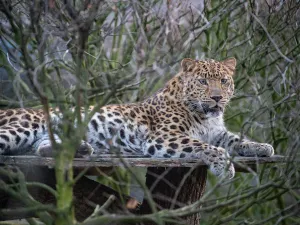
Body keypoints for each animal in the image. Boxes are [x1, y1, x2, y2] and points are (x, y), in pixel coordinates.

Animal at [0, 57, 274, 178]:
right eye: (203, 82)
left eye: (224, 81)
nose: (217, 98)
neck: (206, 117)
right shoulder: (164, 137)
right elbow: (206, 147)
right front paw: (224, 165)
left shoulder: (217, 133)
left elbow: (235, 140)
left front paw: (262, 146)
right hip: (23, 127)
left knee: (40, 149)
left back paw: (81, 148)